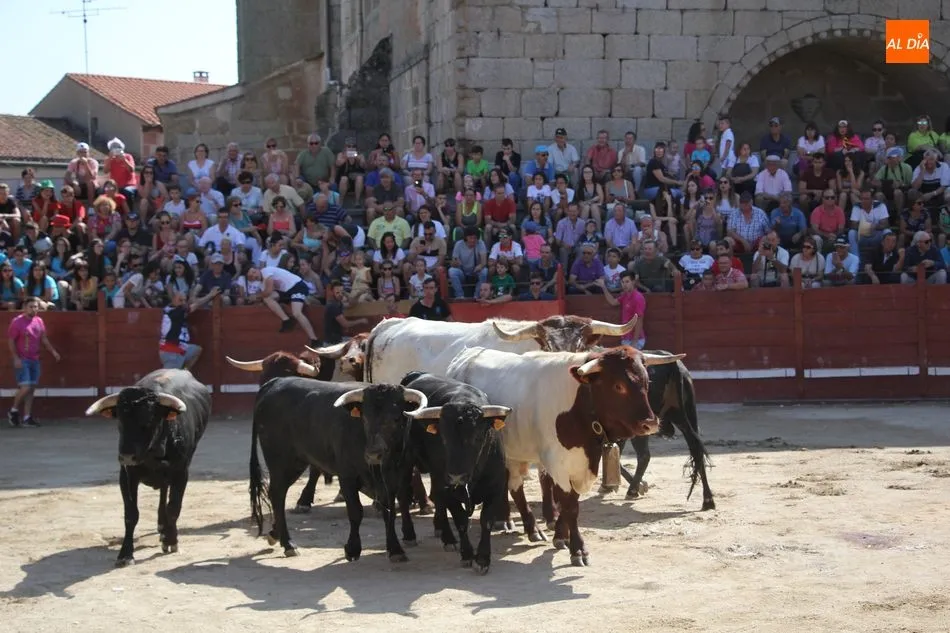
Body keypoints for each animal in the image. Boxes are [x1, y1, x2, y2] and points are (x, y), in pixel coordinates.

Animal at [84, 369, 211, 567]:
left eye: (149, 421)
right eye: (119, 420)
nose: (126, 456)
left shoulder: (181, 472)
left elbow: (173, 507)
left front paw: (171, 540)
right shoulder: (127, 474)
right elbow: (131, 514)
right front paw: (125, 554)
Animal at [249, 378, 428, 562]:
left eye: (396, 418)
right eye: (365, 418)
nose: (373, 454)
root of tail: (276, 382)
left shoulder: (397, 477)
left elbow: (391, 511)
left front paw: (395, 549)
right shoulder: (347, 476)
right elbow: (356, 511)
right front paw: (353, 549)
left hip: (295, 463)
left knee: (276, 494)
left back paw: (275, 534)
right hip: (281, 461)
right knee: (278, 494)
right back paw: (288, 544)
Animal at [399, 371, 511, 574]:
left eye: (478, 436)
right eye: (443, 437)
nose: (456, 476)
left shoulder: (495, 487)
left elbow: (486, 520)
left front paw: (482, 559)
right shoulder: (449, 488)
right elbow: (461, 521)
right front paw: (467, 555)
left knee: (436, 497)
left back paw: (444, 534)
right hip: (406, 462)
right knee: (404, 496)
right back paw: (413, 535)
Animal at [446, 345, 682, 566]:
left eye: (646, 382)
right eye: (618, 386)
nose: (650, 424)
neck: (581, 404)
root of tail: (469, 353)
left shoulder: (579, 464)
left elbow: (569, 501)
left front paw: (561, 535)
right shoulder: (557, 463)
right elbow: (569, 505)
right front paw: (578, 549)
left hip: (515, 450)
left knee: (515, 486)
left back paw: (530, 528)